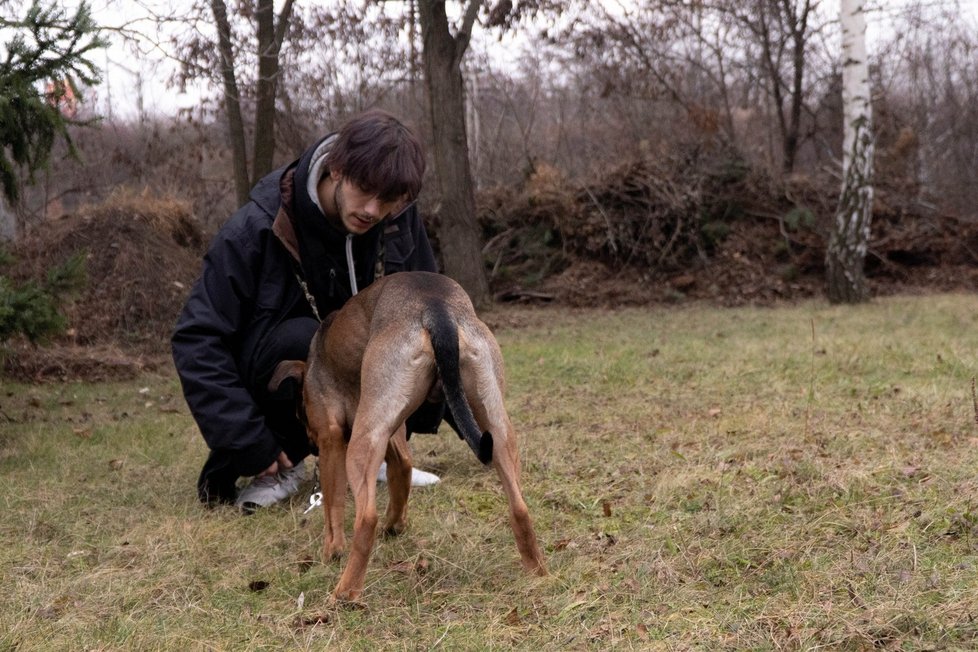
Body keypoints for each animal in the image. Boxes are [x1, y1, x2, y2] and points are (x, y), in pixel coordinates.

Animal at [270, 270, 544, 600]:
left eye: (300, 416)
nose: (308, 444)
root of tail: (436, 307)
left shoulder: (332, 441)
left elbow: (333, 505)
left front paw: (331, 551)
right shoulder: (393, 434)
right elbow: (401, 472)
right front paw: (396, 525)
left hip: (363, 441)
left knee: (366, 518)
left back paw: (345, 592)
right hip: (496, 426)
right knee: (520, 507)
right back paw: (538, 573)